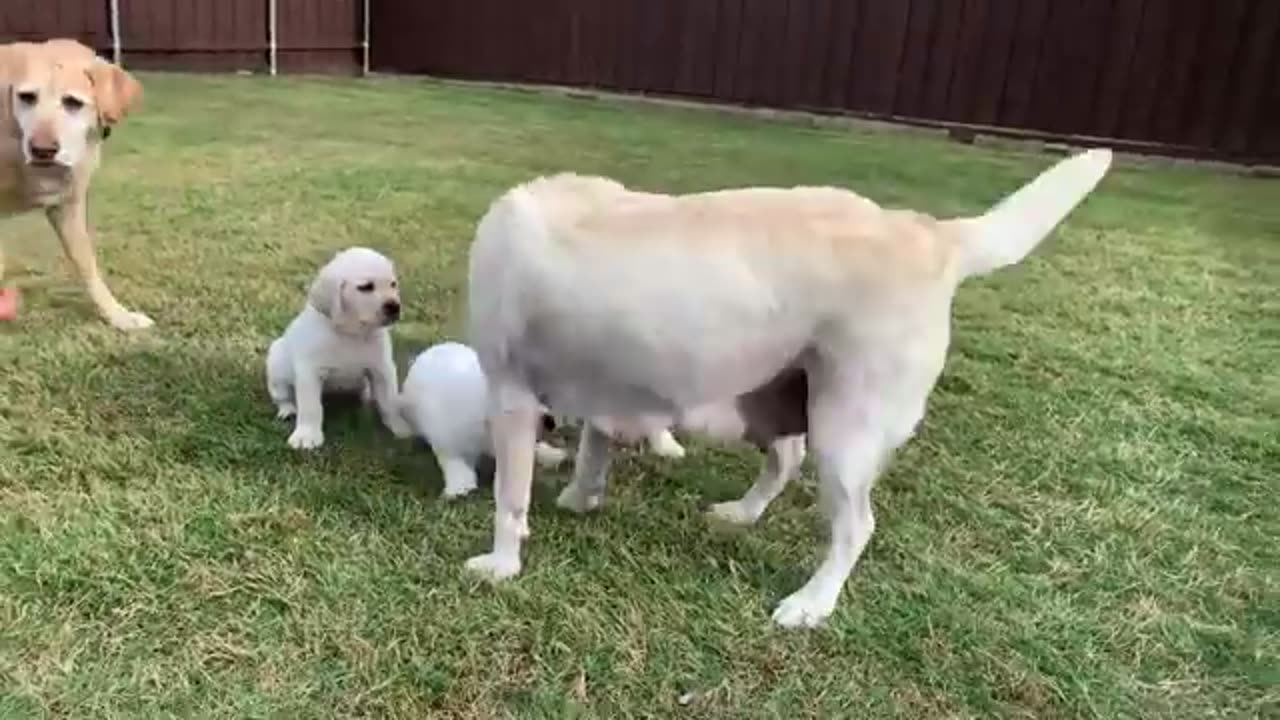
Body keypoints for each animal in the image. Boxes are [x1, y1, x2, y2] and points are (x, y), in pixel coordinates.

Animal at [264, 248, 409, 448]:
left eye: (393, 284)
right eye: (366, 287)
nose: (395, 307)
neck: (350, 333)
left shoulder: (382, 369)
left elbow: (390, 403)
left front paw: (399, 427)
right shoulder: (310, 372)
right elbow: (311, 407)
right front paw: (307, 435)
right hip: (277, 363)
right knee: (283, 396)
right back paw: (288, 410)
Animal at [460, 148, 1111, 625]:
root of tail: (928, 233)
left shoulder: (511, 395)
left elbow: (510, 499)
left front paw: (502, 563)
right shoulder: (610, 385)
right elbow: (595, 447)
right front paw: (580, 497)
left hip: (844, 434)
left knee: (854, 527)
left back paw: (810, 605)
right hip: (774, 398)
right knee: (784, 463)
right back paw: (741, 514)